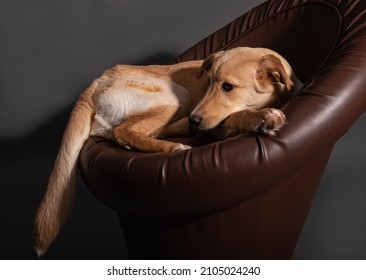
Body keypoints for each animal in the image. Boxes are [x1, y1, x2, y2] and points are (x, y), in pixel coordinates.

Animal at [35, 46, 304, 256]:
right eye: (208, 83)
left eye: (228, 87)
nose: (196, 120)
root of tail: (96, 82)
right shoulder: (221, 122)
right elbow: (240, 115)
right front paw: (262, 118)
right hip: (176, 95)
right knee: (125, 131)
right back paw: (174, 146)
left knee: (140, 131)